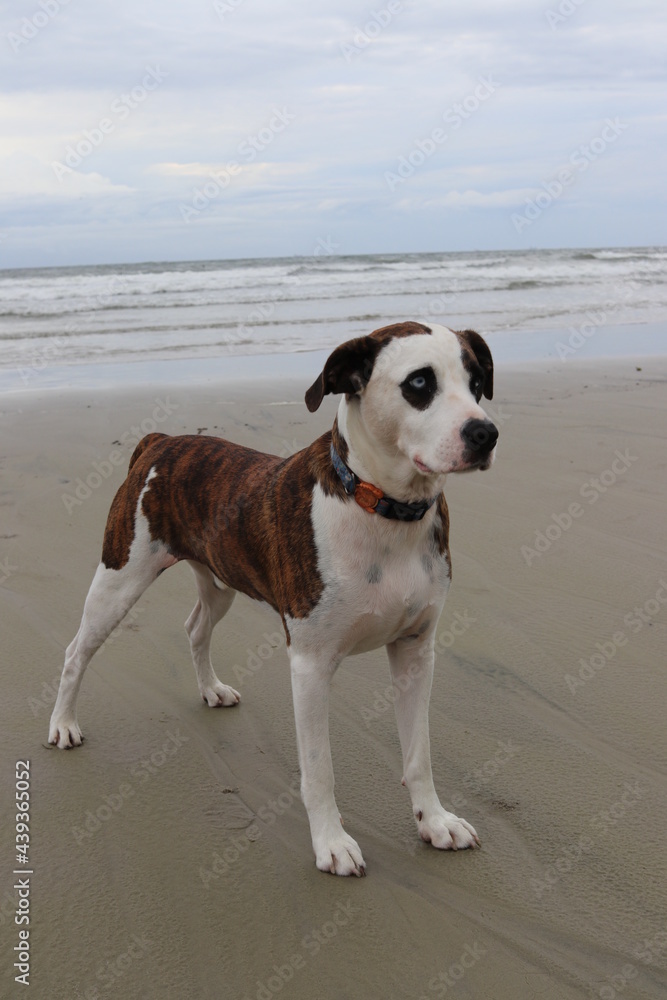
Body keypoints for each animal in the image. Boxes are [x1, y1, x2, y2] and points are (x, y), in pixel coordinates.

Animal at [49, 320, 498, 876]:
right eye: (419, 383)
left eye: (477, 382)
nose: (485, 434)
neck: (382, 508)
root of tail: (160, 441)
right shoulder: (311, 664)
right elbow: (320, 770)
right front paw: (331, 842)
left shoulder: (416, 650)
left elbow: (420, 755)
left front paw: (434, 821)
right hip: (119, 580)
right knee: (77, 652)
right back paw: (63, 724)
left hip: (218, 579)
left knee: (196, 627)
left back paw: (211, 689)